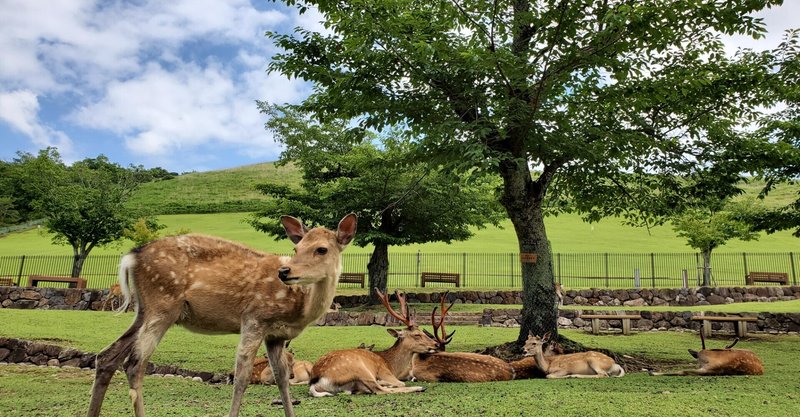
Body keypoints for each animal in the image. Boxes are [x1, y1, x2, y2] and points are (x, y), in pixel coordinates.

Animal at [86, 213, 356, 416]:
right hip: (162, 304)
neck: (299, 308)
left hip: (144, 310)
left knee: (107, 356)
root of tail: (131, 257)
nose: (285, 271)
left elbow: (281, 378)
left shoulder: (276, 336)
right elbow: (241, 378)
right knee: (134, 363)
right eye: (296, 247)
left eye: (321, 249)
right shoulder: (254, 318)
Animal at [310, 288, 438, 394]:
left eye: (422, 331)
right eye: (417, 335)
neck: (391, 365)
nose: (436, 344)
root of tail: (315, 382)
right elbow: (400, 383)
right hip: (360, 369)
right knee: (379, 390)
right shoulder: (384, 371)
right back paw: (419, 387)